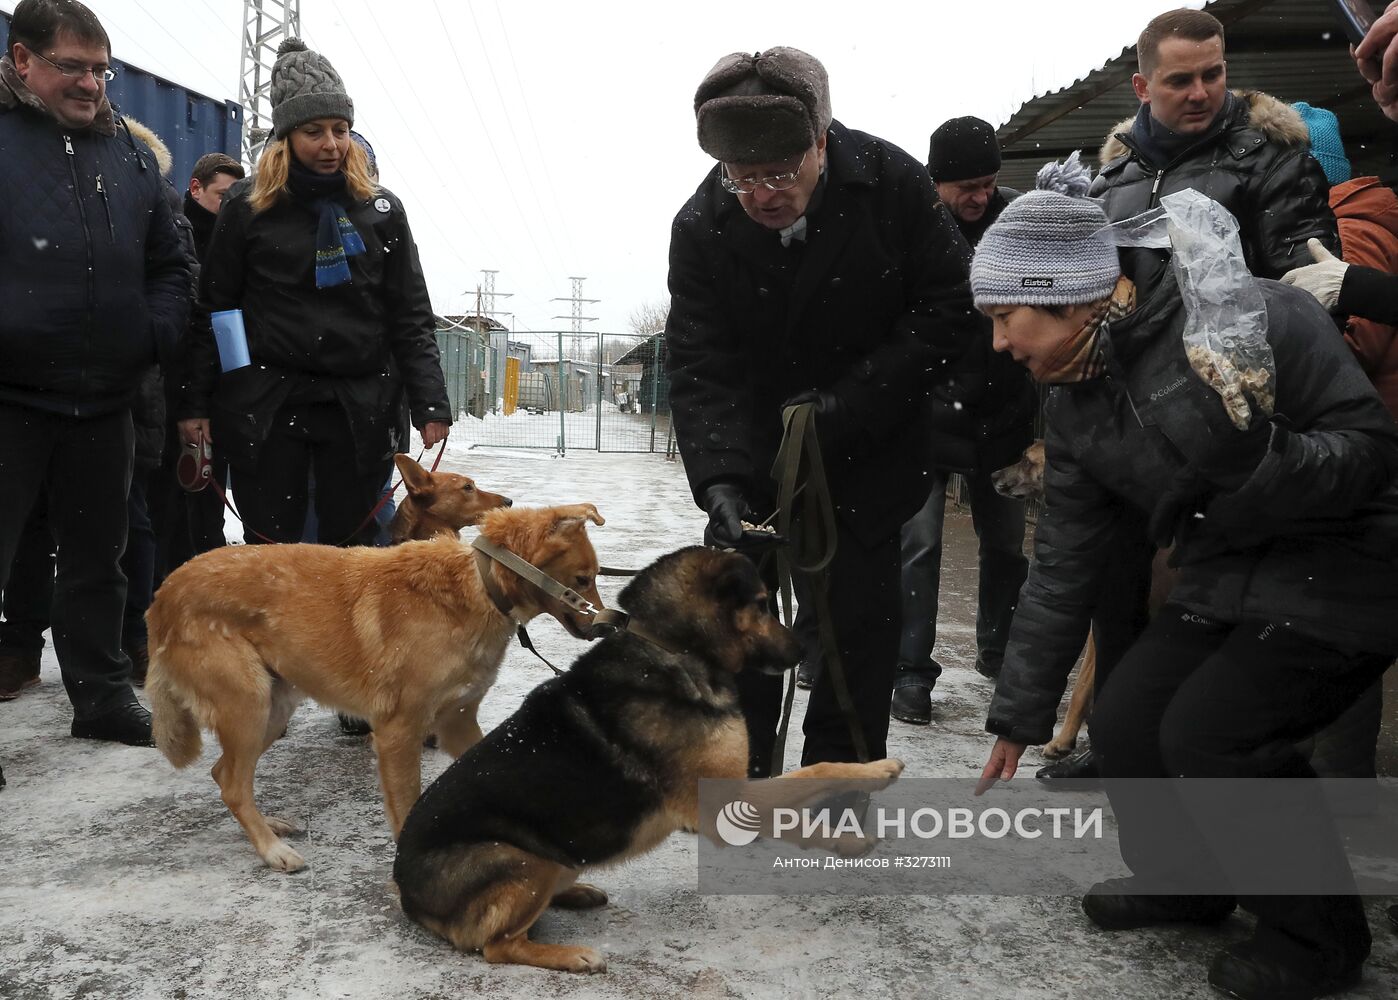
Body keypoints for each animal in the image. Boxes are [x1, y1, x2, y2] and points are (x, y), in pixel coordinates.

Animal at [144, 503, 609, 872]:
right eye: (583, 580)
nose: (609, 625)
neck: (476, 586)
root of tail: (163, 593)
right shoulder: (397, 733)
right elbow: (407, 804)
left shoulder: (457, 722)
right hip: (248, 706)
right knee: (234, 785)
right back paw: (271, 850)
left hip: (272, 711)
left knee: (224, 775)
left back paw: (267, 825)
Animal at [391, 548, 905, 979]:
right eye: (762, 604)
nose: (803, 654)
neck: (672, 647)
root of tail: (405, 892)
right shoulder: (724, 803)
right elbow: (813, 777)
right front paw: (859, 815)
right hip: (518, 859)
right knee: (497, 945)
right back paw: (570, 956)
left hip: (551, 859)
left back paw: (574, 892)